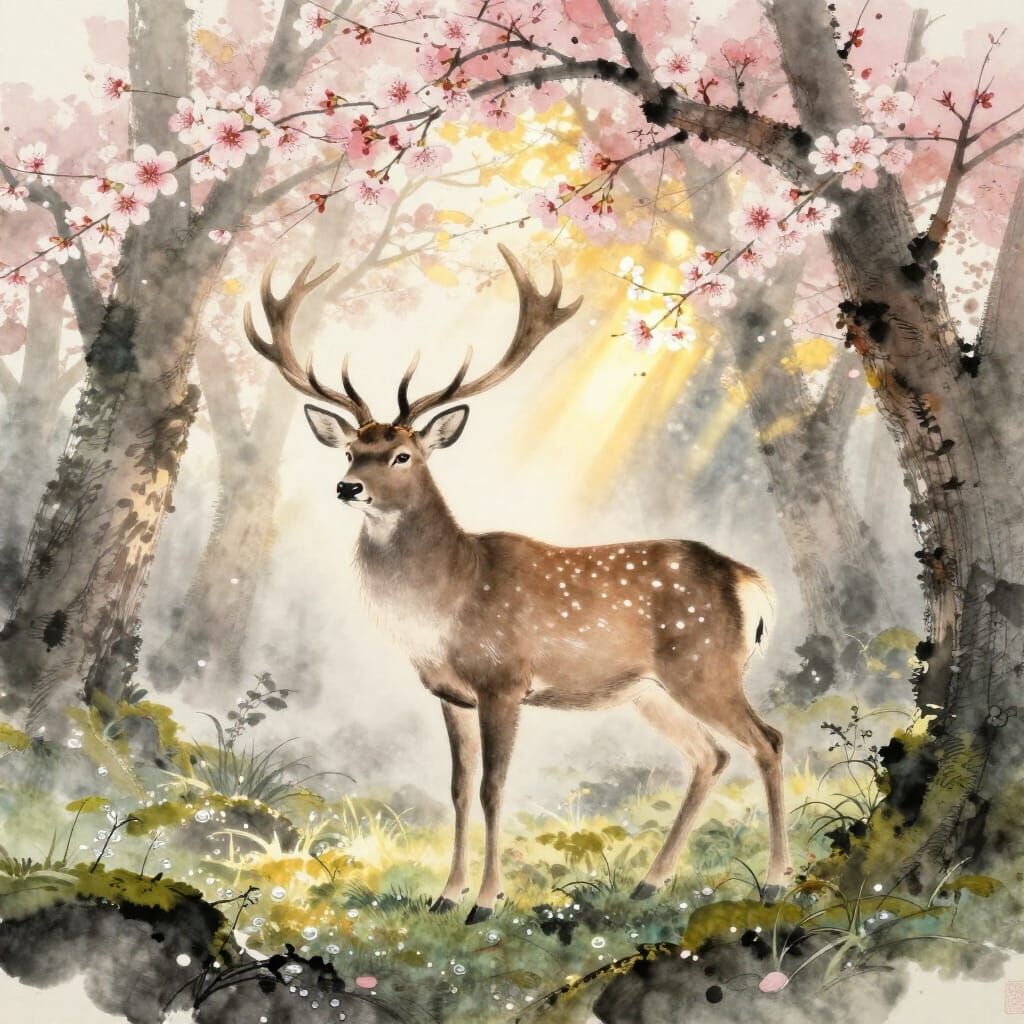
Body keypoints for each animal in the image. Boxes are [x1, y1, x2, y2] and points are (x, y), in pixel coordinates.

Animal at [244, 245, 792, 924]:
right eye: (349, 450)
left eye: (402, 456)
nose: (348, 487)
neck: (446, 603)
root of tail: (752, 584)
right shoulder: (449, 693)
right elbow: (456, 788)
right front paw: (445, 896)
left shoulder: (503, 679)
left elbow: (493, 787)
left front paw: (485, 900)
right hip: (651, 691)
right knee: (710, 755)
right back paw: (649, 883)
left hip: (705, 665)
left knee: (768, 741)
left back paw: (775, 881)